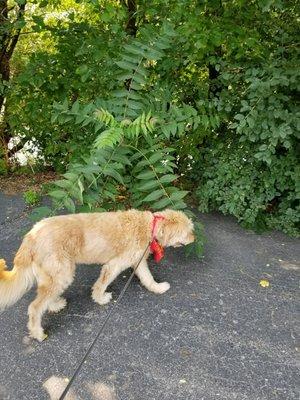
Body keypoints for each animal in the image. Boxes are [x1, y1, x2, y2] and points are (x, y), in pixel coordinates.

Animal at [0, 208, 195, 342]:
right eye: (188, 231)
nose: (194, 239)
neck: (148, 226)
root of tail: (31, 235)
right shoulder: (114, 264)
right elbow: (102, 283)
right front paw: (100, 299)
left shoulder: (138, 262)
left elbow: (148, 278)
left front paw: (158, 288)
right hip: (62, 273)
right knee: (35, 307)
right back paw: (38, 333)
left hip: (53, 275)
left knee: (45, 298)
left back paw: (54, 305)